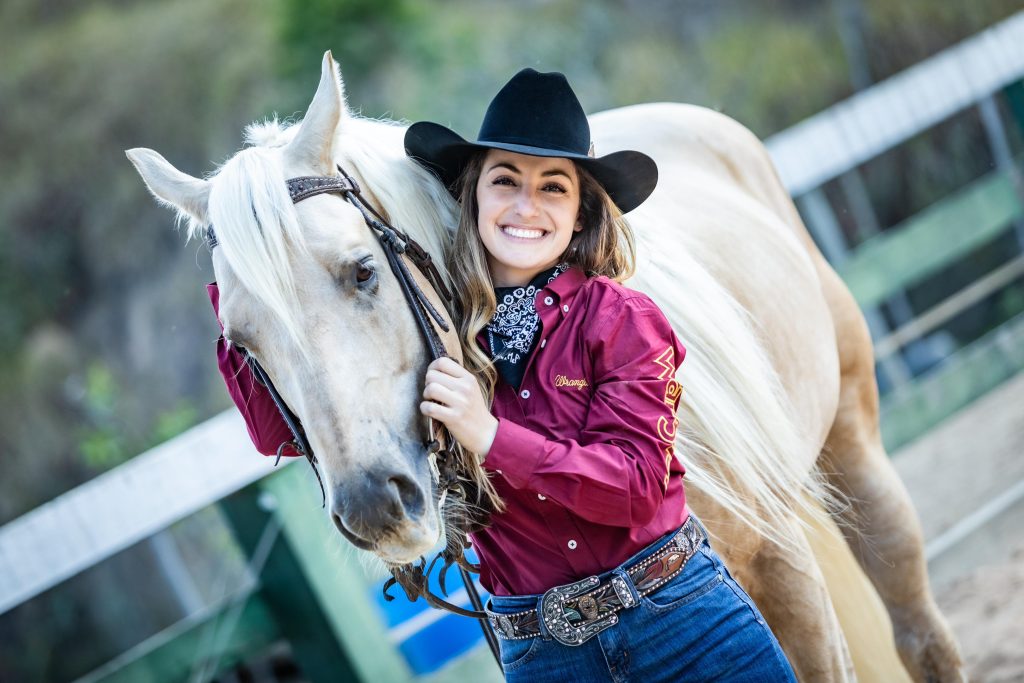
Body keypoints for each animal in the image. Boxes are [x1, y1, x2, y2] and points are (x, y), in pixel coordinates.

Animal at [125, 54, 958, 683]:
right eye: (240, 343)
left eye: (362, 271)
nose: (374, 505)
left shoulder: (785, 564)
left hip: (852, 440)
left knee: (921, 632)